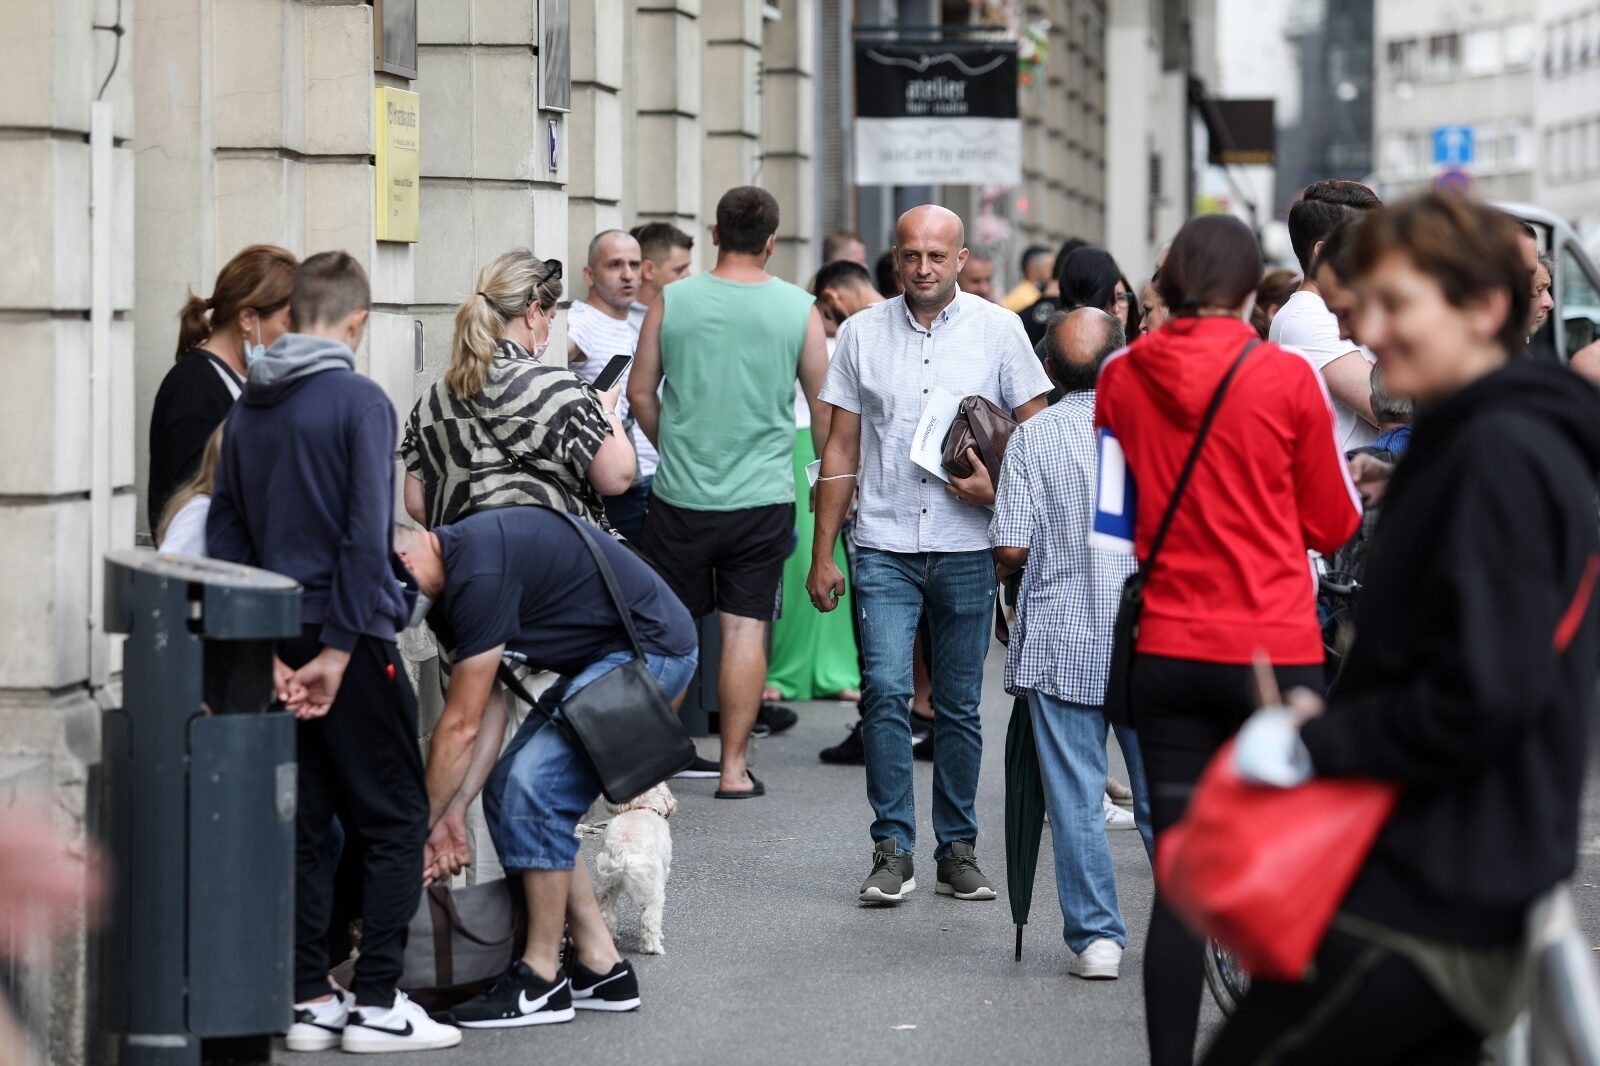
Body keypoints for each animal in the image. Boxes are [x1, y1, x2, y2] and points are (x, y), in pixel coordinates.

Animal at [598, 777, 678, 947]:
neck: (646, 808)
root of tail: (624, 852)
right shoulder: (664, 868)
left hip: (606, 882)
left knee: (605, 913)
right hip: (652, 888)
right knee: (650, 917)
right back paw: (654, 946)